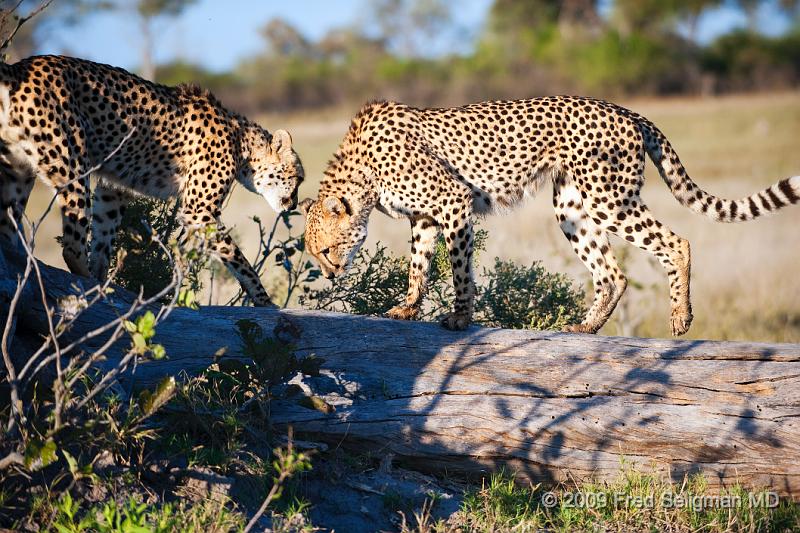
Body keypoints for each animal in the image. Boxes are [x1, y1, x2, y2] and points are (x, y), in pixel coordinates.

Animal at [0, 54, 304, 306]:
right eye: (298, 178)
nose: (293, 205)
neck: (241, 142)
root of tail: (21, 67)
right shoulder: (199, 211)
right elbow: (236, 257)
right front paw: (264, 299)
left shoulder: (115, 188)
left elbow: (104, 237)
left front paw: (103, 274)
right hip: (72, 166)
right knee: (72, 246)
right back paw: (87, 286)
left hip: (18, 171)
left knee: (8, 230)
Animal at [302, 97, 800, 334]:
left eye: (325, 250)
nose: (330, 275)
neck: (362, 173)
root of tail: (624, 109)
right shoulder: (424, 218)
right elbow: (418, 265)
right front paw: (407, 306)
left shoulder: (453, 201)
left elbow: (460, 270)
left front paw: (460, 318)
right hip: (572, 208)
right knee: (613, 273)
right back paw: (588, 325)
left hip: (609, 199)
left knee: (675, 241)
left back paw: (680, 316)